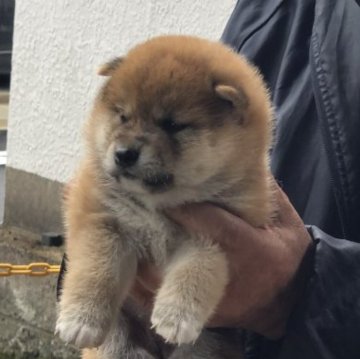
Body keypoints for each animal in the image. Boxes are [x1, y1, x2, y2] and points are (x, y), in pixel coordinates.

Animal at [56, 34, 272, 359]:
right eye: (123, 116)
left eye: (172, 125)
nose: (123, 154)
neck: (158, 205)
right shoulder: (101, 217)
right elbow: (97, 267)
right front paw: (80, 320)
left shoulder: (219, 236)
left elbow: (197, 270)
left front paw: (177, 318)